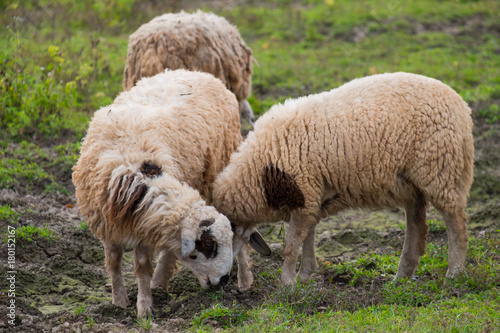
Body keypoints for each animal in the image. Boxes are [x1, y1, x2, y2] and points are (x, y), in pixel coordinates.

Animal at [72, 68, 242, 316]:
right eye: (209, 244)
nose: (224, 281)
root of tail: (196, 72)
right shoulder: (107, 224)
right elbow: (113, 262)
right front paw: (119, 302)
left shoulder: (144, 227)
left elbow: (143, 267)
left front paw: (145, 307)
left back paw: (159, 283)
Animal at [213, 70, 474, 288]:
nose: (222, 280)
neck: (259, 171)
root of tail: (462, 108)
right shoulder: (311, 199)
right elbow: (307, 238)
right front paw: (305, 276)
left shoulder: (304, 195)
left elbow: (291, 246)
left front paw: (287, 284)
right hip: (411, 184)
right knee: (418, 225)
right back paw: (401, 277)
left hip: (440, 170)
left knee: (456, 221)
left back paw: (454, 272)